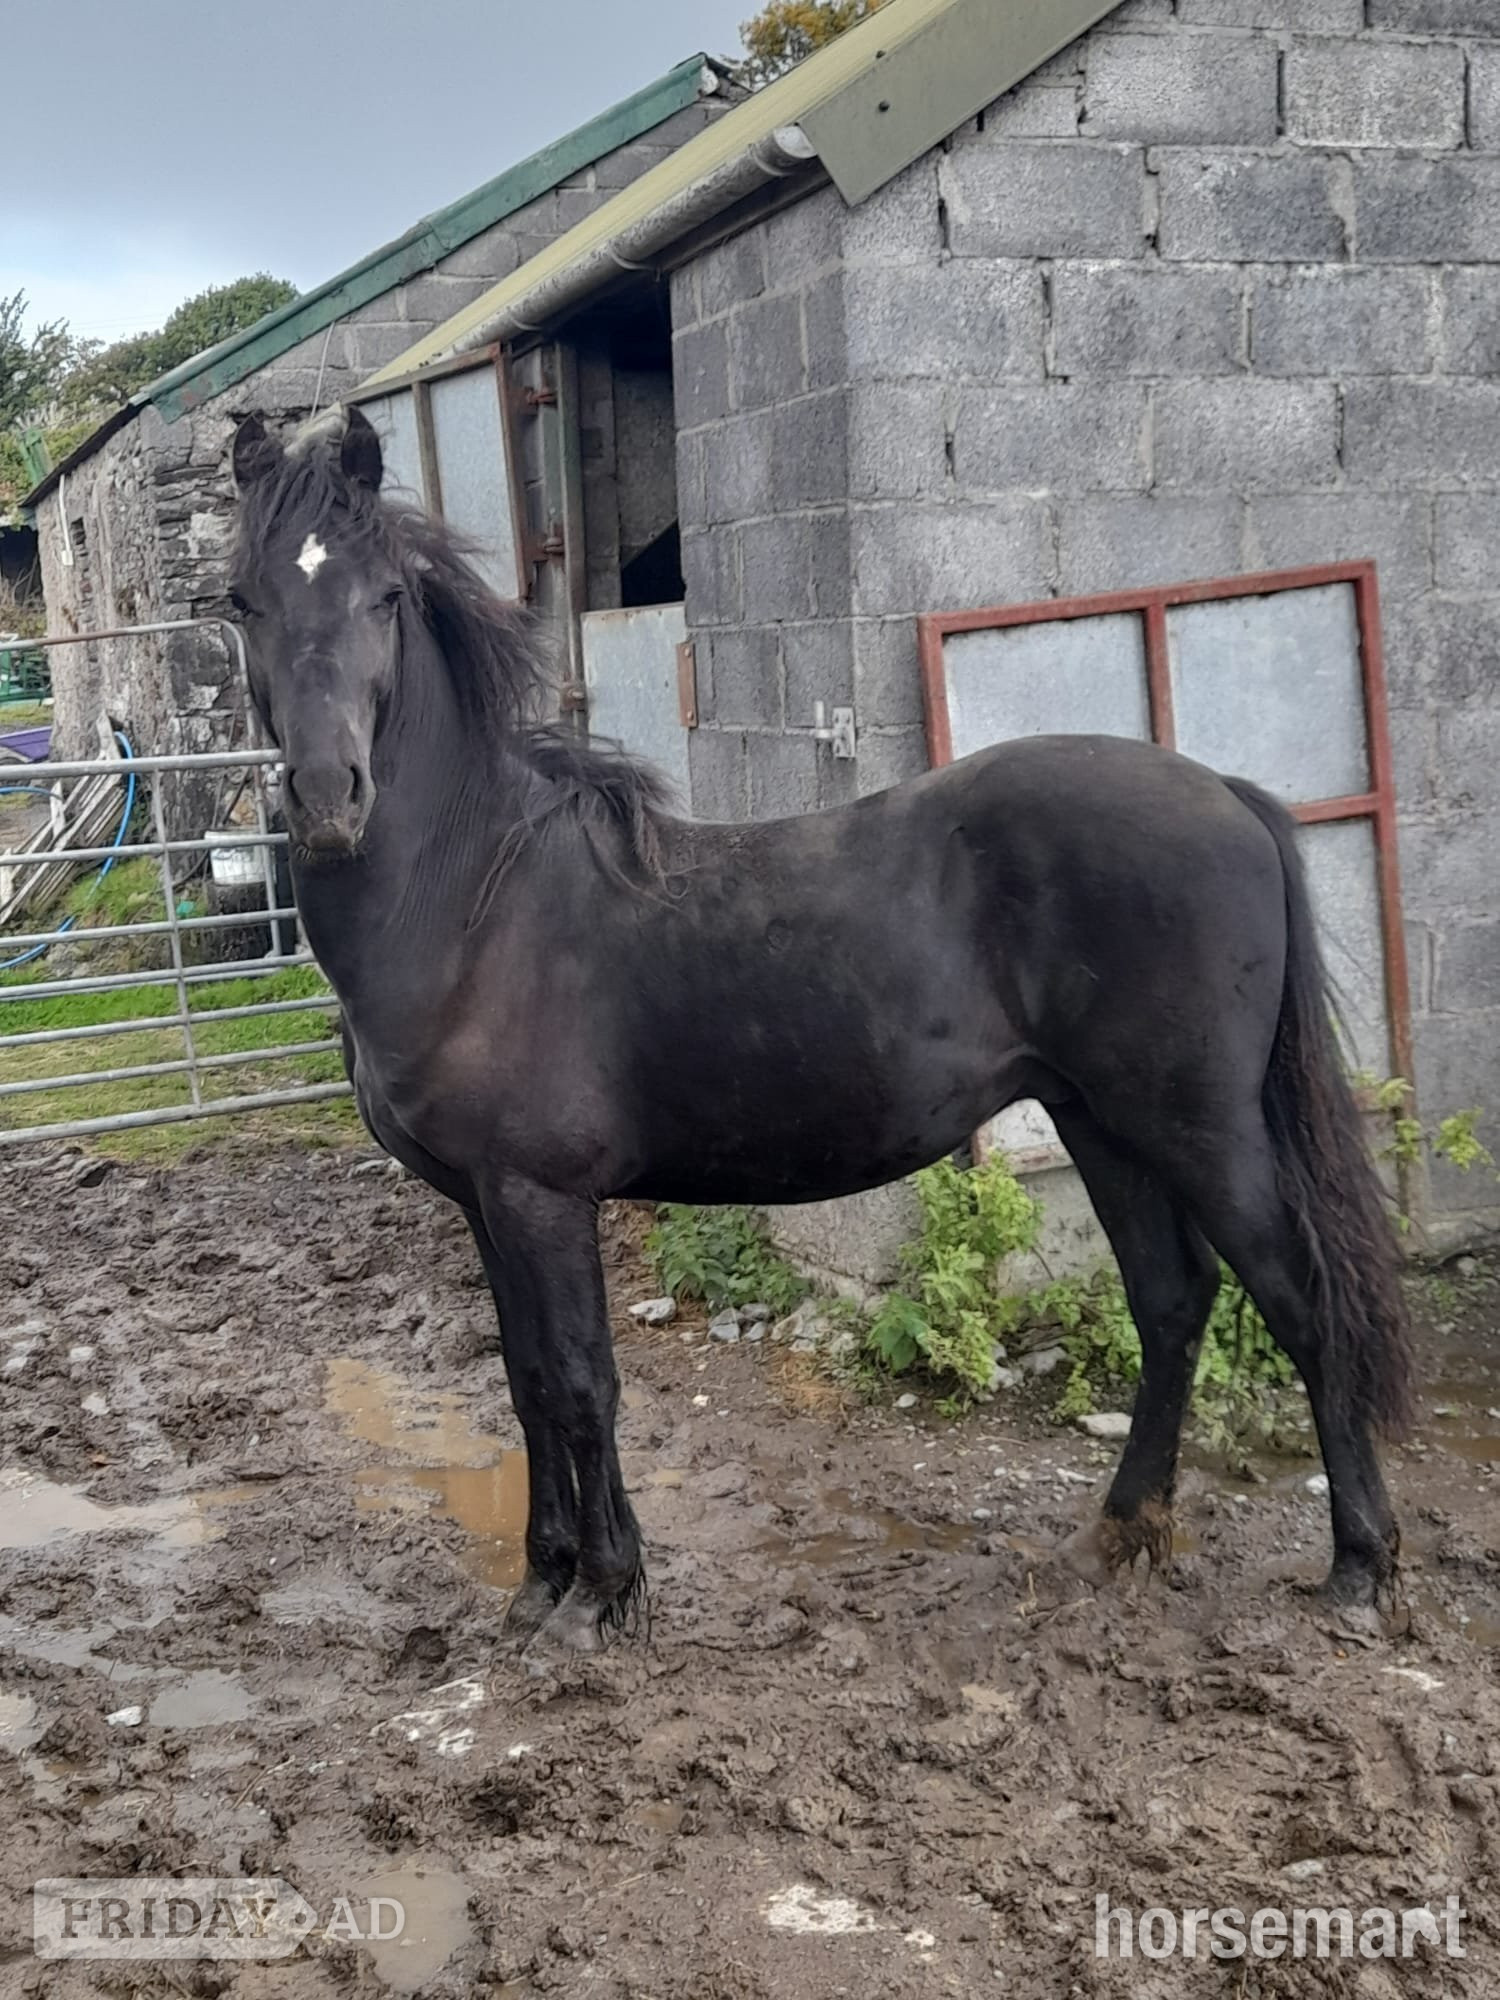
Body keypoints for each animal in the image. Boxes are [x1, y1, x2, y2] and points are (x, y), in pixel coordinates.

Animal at [228, 406, 1414, 1662]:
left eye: (383, 598)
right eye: (242, 601)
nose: (328, 796)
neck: (476, 896)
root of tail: (1227, 791)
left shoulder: (541, 1197)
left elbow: (581, 1382)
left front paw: (602, 1592)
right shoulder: (484, 1203)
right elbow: (526, 1380)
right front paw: (543, 1580)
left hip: (1201, 1128)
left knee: (1302, 1300)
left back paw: (1359, 1564)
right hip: (1102, 1121)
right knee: (1173, 1300)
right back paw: (1120, 1531)